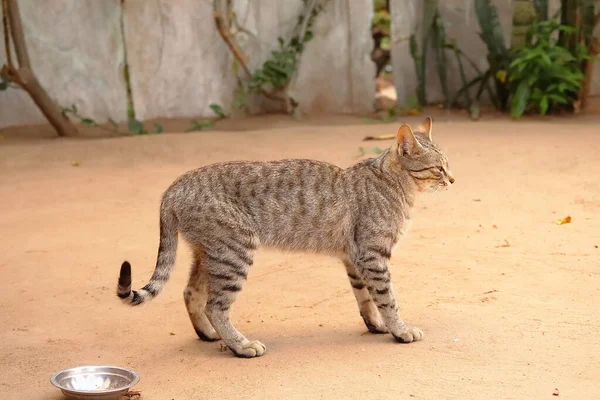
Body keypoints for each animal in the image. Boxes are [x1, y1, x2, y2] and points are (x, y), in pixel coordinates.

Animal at [116, 117, 454, 358]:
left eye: (448, 165)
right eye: (438, 168)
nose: (452, 179)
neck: (393, 183)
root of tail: (174, 186)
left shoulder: (354, 257)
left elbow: (366, 298)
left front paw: (378, 326)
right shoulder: (373, 254)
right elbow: (387, 298)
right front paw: (400, 329)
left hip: (209, 253)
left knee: (190, 293)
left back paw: (209, 334)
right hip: (235, 251)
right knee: (216, 305)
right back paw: (241, 345)